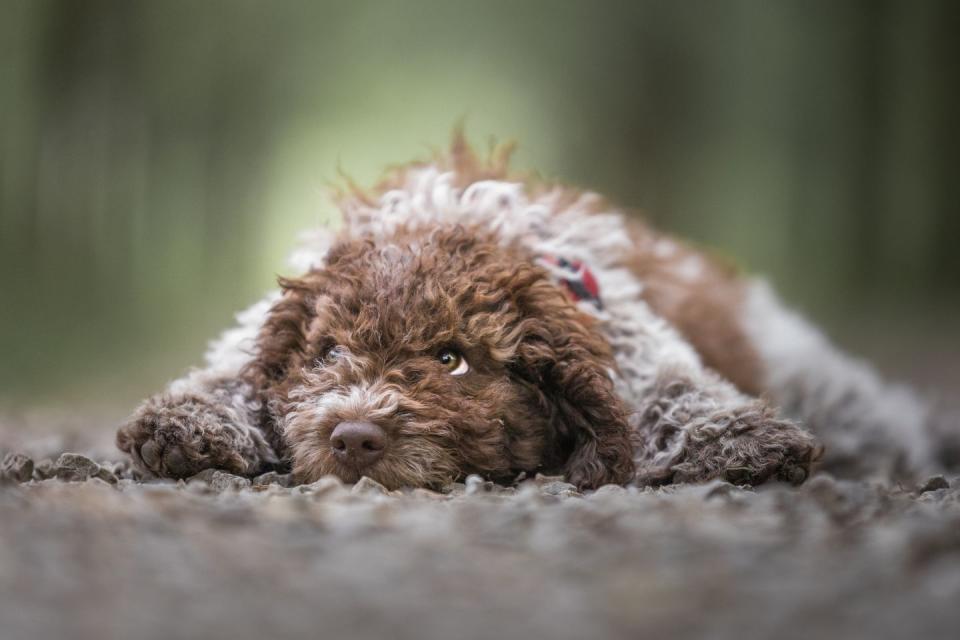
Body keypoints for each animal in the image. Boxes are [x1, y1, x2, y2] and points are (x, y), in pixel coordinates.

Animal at [114, 132, 944, 488]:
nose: (353, 438)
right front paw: (187, 420)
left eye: (452, 359)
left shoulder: (619, 325)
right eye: (327, 355)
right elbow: (232, 370)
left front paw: (736, 434)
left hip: (815, 377)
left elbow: (671, 384)